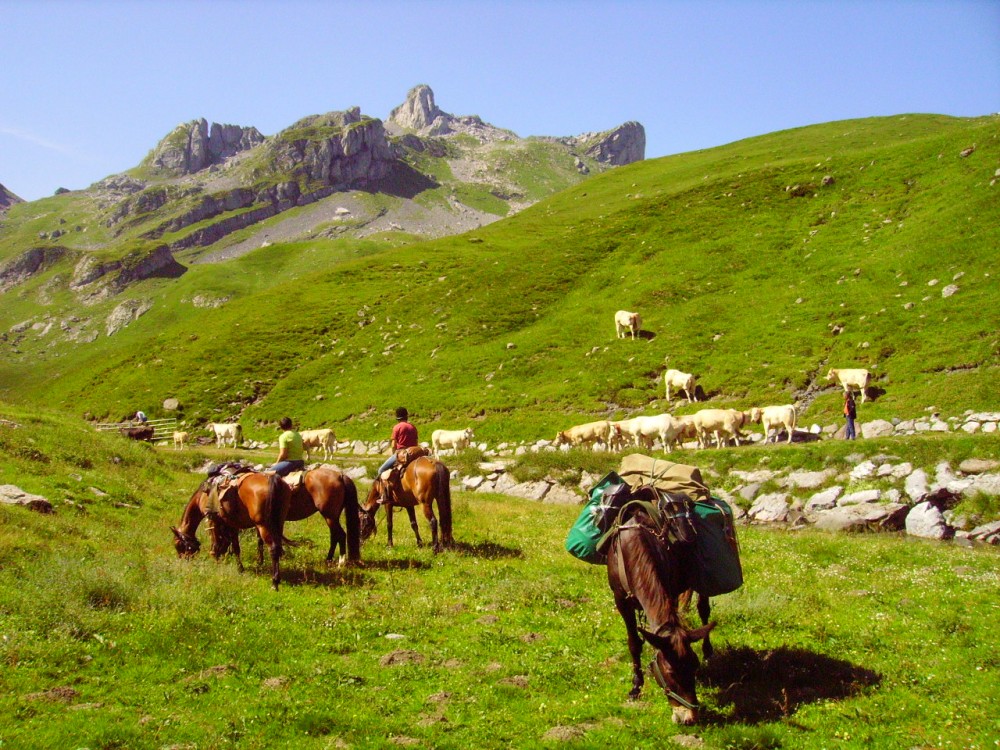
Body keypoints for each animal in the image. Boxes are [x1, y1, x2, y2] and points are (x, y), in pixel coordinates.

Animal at [604, 490, 716, 724]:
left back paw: (708, 652)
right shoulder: (621, 600)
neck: (633, 548)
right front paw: (635, 687)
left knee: (703, 609)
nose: (689, 718)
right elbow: (634, 643)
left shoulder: (669, 592)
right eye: (670, 673)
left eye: (694, 666)